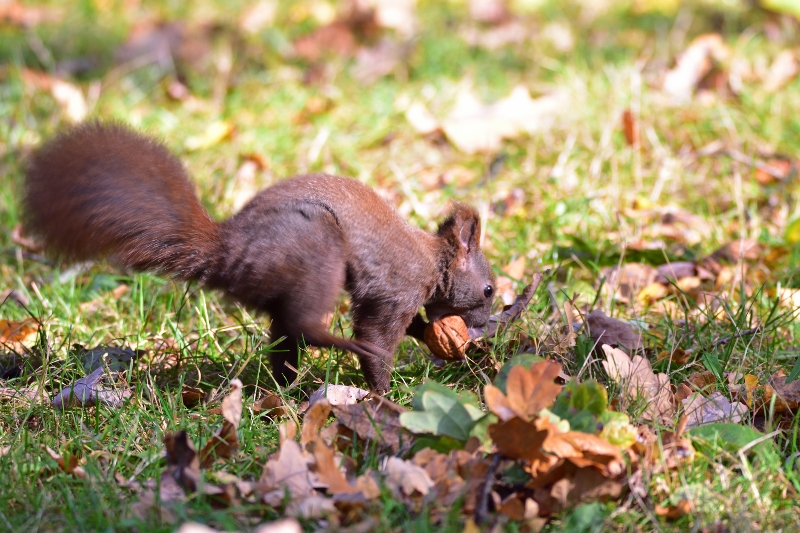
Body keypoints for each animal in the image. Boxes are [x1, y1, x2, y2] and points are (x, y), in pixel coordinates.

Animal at [23, 122, 494, 392]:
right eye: (489, 289)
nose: (486, 324)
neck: (432, 261)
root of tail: (228, 250)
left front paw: (432, 338)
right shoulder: (396, 292)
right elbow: (378, 338)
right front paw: (384, 392)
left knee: (285, 337)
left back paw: (285, 388)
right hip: (318, 247)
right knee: (303, 326)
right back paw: (334, 348)